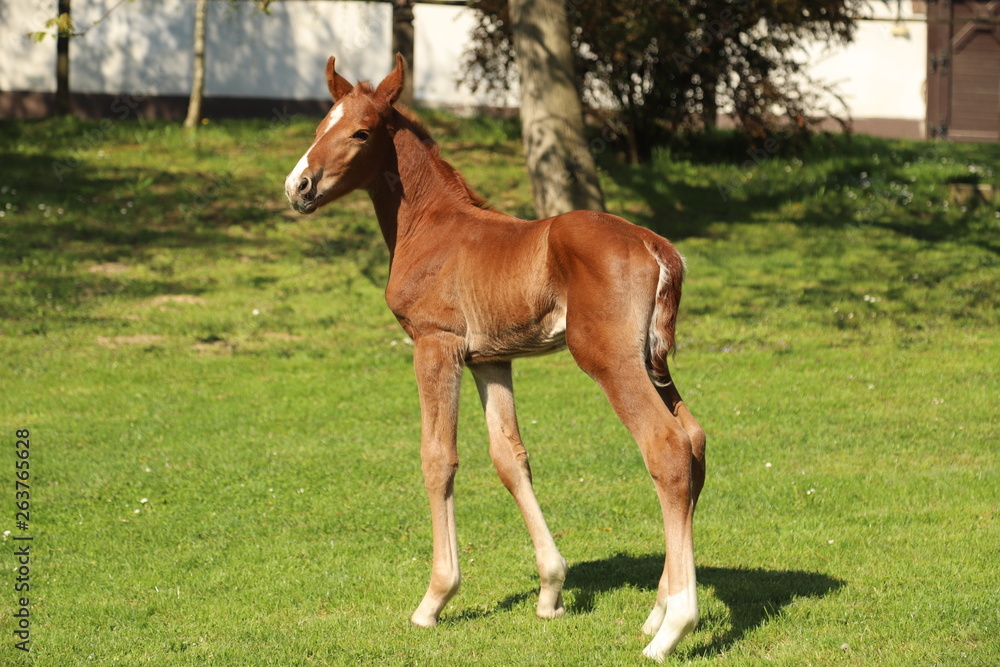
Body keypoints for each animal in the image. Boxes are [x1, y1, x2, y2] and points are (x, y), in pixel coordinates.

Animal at [283, 54, 706, 662]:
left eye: (361, 132)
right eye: (322, 125)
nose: (298, 186)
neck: (432, 227)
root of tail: (656, 245)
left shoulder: (435, 344)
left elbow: (438, 457)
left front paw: (434, 599)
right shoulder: (490, 359)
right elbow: (510, 457)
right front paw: (551, 591)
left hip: (610, 361)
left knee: (666, 448)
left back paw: (674, 628)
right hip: (656, 361)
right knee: (693, 440)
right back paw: (656, 612)